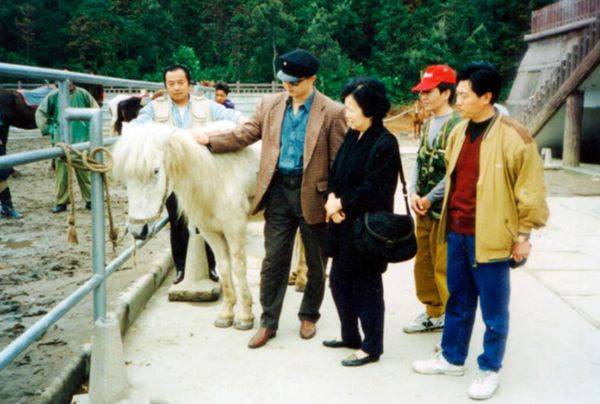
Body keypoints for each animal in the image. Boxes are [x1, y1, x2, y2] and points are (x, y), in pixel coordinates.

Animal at [112, 121, 258, 330]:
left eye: (156, 171)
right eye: (126, 176)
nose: (138, 231)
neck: (216, 172)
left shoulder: (234, 228)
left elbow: (238, 267)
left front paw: (245, 316)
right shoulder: (210, 231)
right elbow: (223, 267)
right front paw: (226, 314)